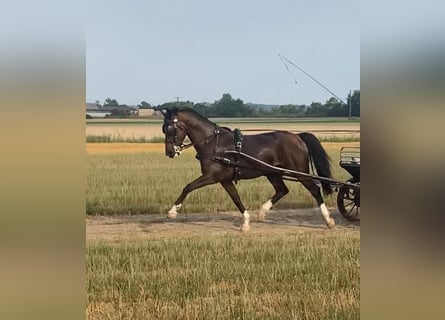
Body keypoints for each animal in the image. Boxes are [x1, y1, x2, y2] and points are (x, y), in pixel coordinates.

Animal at [160, 109, 332, 231]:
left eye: (170, 128)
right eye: (164, 128)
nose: (169, 152)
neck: (213, 144)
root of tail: (297, 137)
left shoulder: (211, 176)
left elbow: (188, 187)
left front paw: (172, 212)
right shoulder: (224, 179)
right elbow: (236, 198)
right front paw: (246, 222)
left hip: (299, 172)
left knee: (315, 190)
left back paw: (328, 220)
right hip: (272, 172)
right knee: (282, 190)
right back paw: (262, 212)